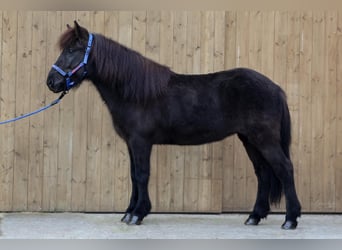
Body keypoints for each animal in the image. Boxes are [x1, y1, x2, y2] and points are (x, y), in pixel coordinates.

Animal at [46, 20, 302, 229]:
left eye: (72, 50)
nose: (51, 82)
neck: (135, 92)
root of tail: (275, 88)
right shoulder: (131, 144)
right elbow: (133, 175)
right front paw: (129, 212)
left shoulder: (141, 142)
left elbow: (142, 175)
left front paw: (138, 214)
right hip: (249, 140)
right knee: (263, 173)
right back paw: (254, 216)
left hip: (264, 139)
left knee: (285, 169)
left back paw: (290, 219)